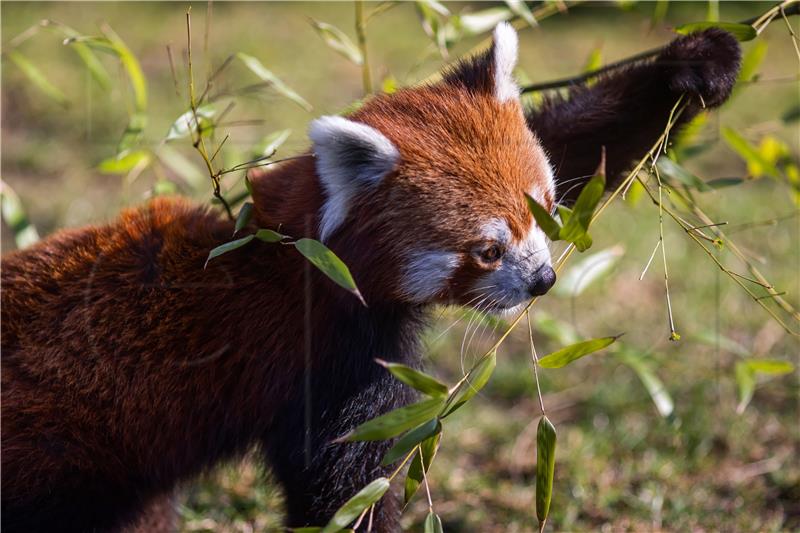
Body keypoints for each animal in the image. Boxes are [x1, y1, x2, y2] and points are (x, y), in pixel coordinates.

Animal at [0, 22, 740, 528]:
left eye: (547, 209)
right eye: (488, 250)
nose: (543, 283)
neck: (308, 260)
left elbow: (584, 135)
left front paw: (696, 64)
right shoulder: (322, 361)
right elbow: (346, 481)